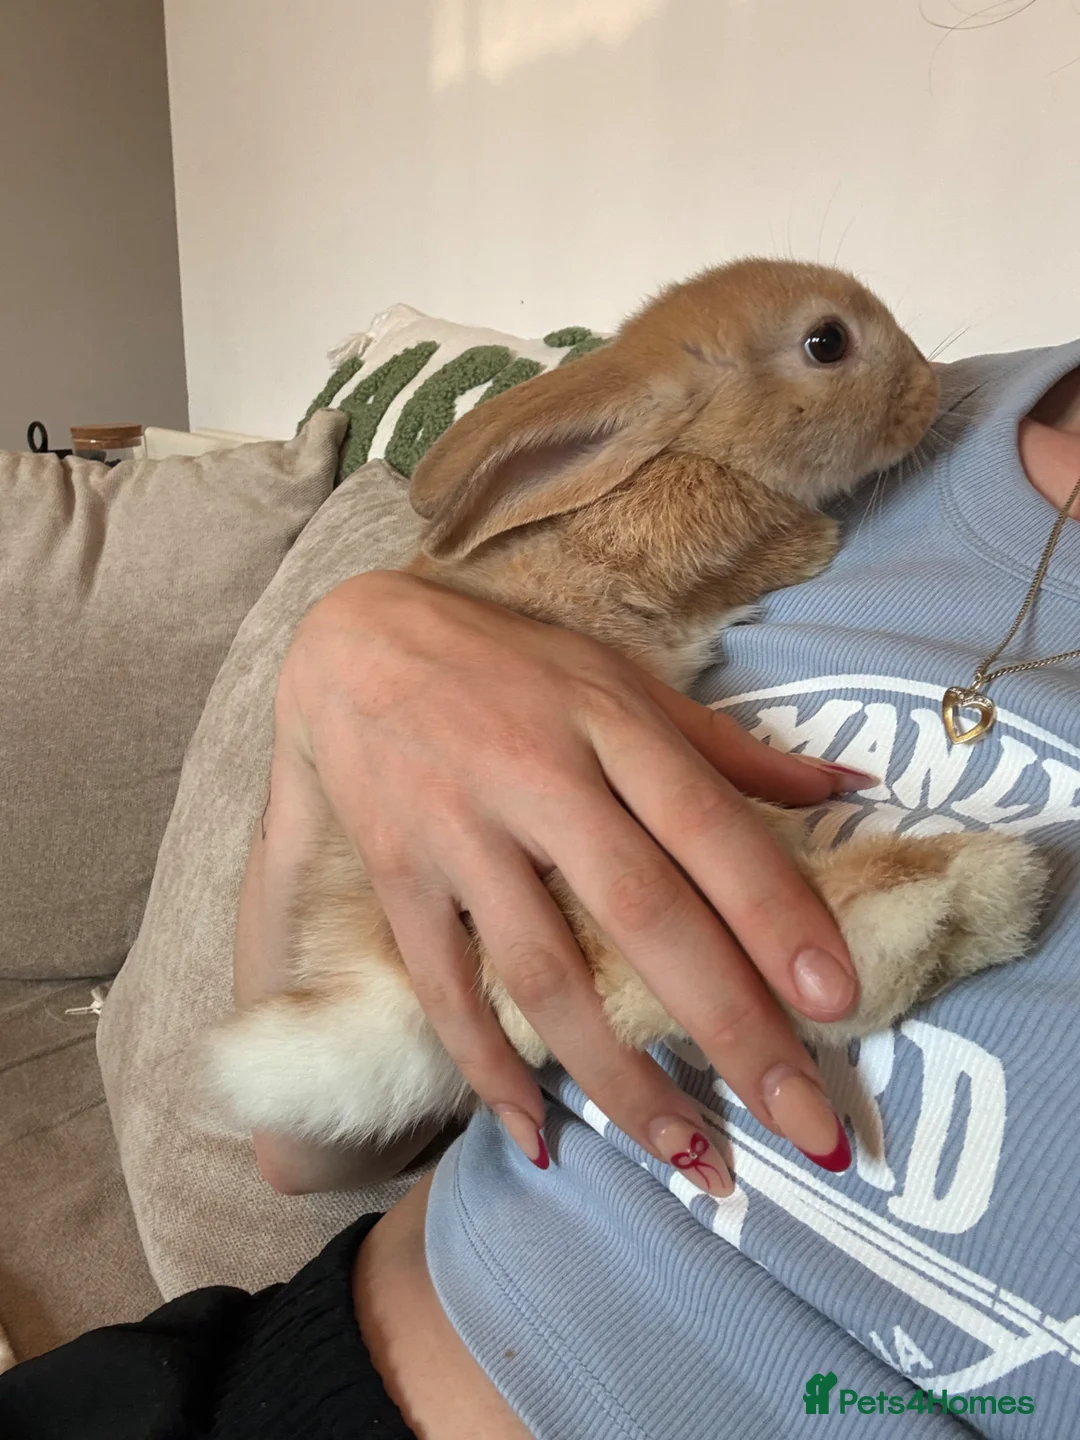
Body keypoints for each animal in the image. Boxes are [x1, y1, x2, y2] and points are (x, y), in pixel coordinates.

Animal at [200, 259, 1049, 1151]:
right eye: (827, 342)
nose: (928, 386)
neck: (680, 445)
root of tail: (376, 980)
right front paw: (815, 544)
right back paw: (950, 896)